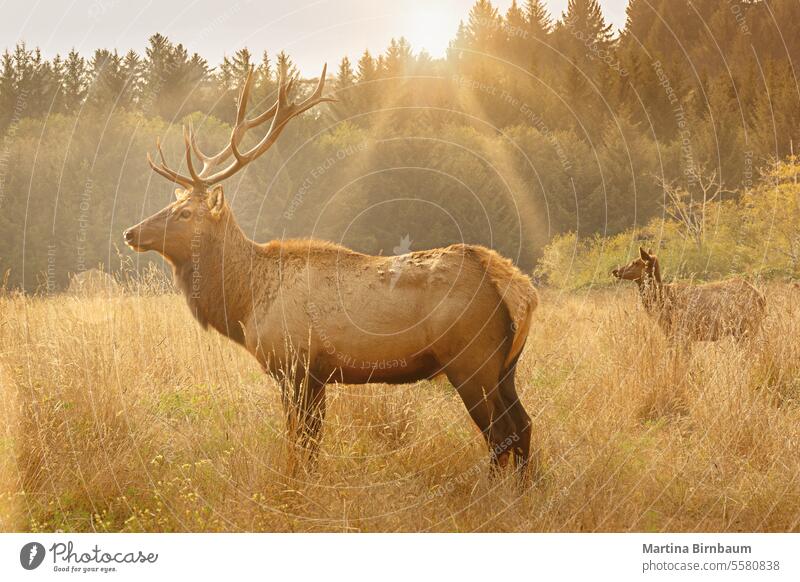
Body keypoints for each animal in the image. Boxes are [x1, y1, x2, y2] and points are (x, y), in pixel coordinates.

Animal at [123, 62, 536, 474]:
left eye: (184, 213)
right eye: (172, 205)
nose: (131, 232)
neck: (245, 302)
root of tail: (519, 288)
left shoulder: (295, 364)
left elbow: (300, 440)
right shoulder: (318, 376)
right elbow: (311, 441)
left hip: (471, 360)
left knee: (500, 434)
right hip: (506, 367)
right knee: (524, 425)